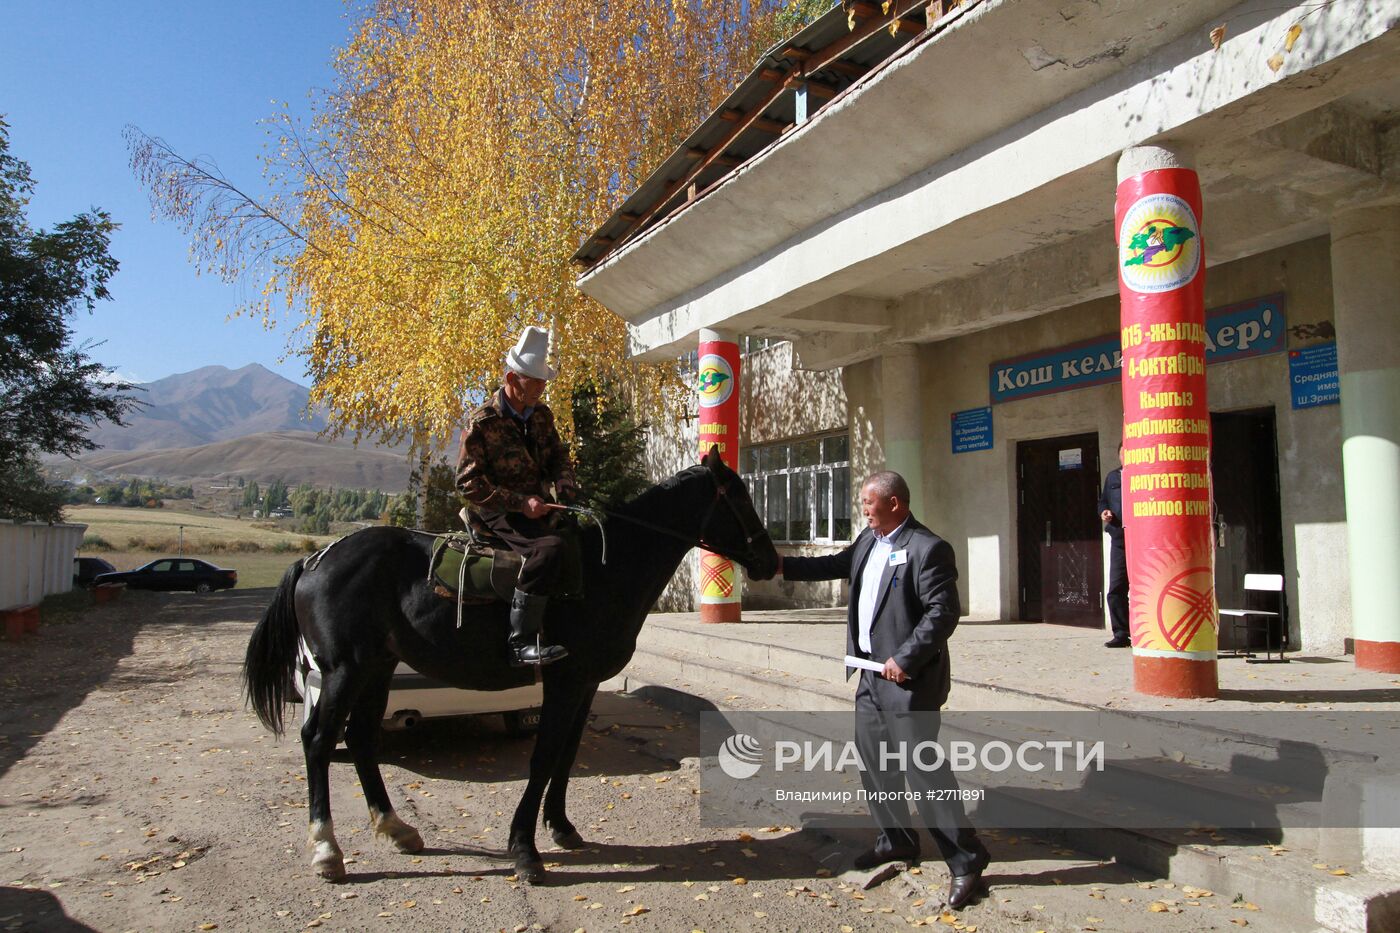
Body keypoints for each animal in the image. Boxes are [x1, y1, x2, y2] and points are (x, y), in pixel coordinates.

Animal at [240, 448, 778, 885]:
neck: (606, 571)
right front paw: (524, 849)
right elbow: (543, 758)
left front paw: (561, 827)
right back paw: (327, 851)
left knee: (361, 740)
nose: (771, 561)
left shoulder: (584, 685)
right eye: (738, 495)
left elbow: (567, 755)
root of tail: (316, 559)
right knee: (318, 740)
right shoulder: (564, 682)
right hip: (344, 671)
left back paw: (396, 828)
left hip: (377, 668)